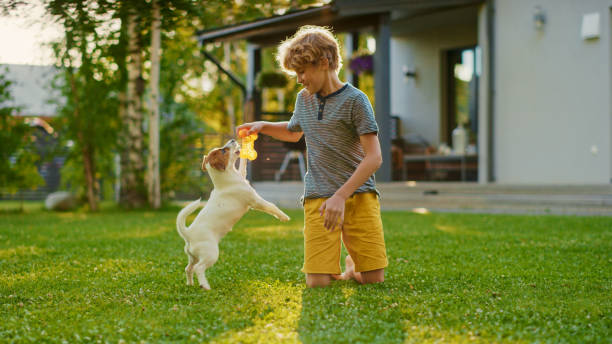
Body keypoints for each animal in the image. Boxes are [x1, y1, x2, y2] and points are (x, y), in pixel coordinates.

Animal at [176, 138, 290, 288]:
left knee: (188, 268)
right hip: (211, 254)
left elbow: (243, 166)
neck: (226, 178)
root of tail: (188, 234)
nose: (233, 139)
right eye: (223, 150)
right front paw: (284, 217)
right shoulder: (255, 201)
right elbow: (271, 206)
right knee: (198, 268)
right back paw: (205, 286)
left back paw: (190, 284)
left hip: (193, 257)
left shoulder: (242, 175)